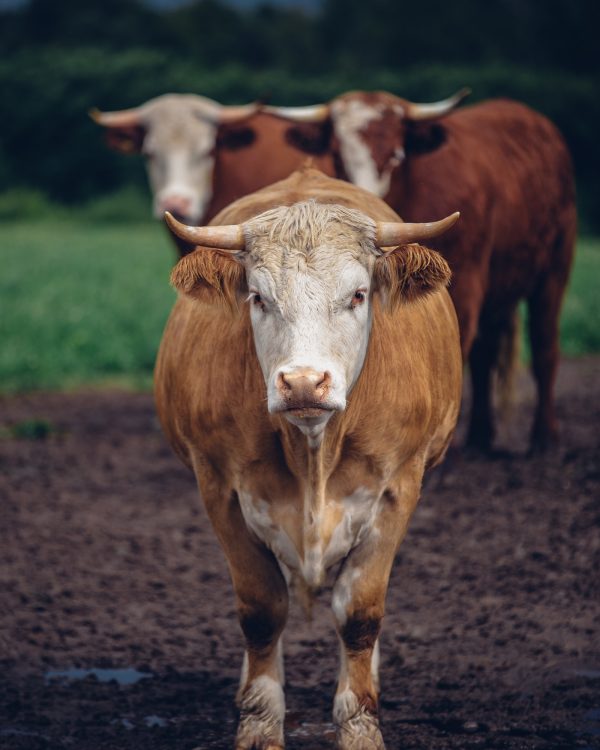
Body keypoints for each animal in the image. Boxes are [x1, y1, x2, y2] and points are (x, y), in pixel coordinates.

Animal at [154, 167, 460, 748]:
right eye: (257, 297)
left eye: (358, 295)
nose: (301, 382)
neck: (312, 453)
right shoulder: (218, 488)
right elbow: (261, 609)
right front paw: (258, 723)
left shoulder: (399, 488)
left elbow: (360, 613)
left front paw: (360, 724)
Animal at [268, 92, 576, 452]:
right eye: (336, 156)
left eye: (397, 155)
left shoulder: (465, 286)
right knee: (486, 355)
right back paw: (480, 436)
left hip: (554, 270)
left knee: (544, 347)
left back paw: (545, 436)